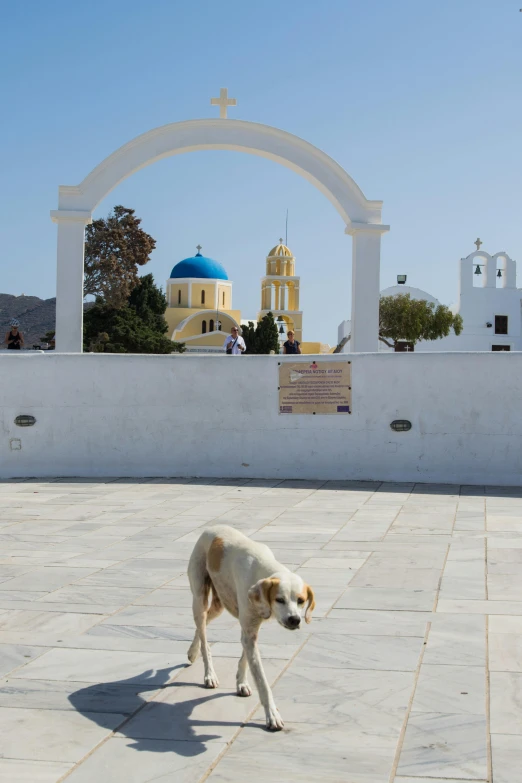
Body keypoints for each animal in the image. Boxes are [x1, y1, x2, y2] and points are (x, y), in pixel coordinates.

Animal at [187, 524, 312, 732]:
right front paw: (272, 715)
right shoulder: (249, 630)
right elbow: (262, 681)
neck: (261, 569)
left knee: (201, 626)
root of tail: (211, 527)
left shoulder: (251, 630)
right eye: (279, 599)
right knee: (204, 637)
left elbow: (245, 658)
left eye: (301, 600)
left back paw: (192, 651)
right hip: (199, 598)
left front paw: (241, 682)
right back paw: (209, 673)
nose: (295, 619)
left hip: (219, 605)